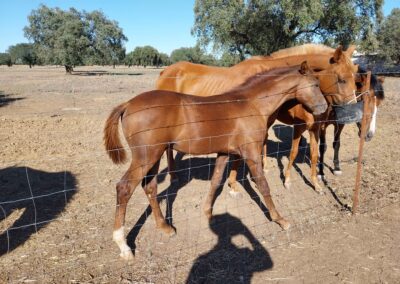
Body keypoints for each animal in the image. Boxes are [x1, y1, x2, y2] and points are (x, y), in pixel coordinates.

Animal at [155, 43, 356, 193]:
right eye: (340, 79)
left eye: (356, 77)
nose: (353, 112)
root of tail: (165, 72)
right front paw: (235, 184)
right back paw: (173, 176)